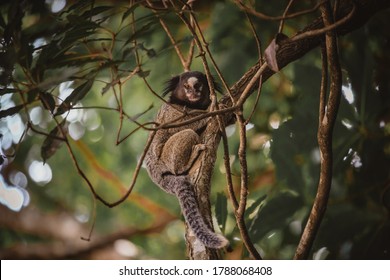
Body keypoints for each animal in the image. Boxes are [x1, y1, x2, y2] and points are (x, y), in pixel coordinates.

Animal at [145, 71, 227, 248]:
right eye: (186, 86)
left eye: (198, 86)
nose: (192, 92)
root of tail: (157, 176)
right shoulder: (171, 110)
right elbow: (177, 125)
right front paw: (213, 109)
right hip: (166, 157)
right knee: (188, 133)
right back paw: (186, 163)